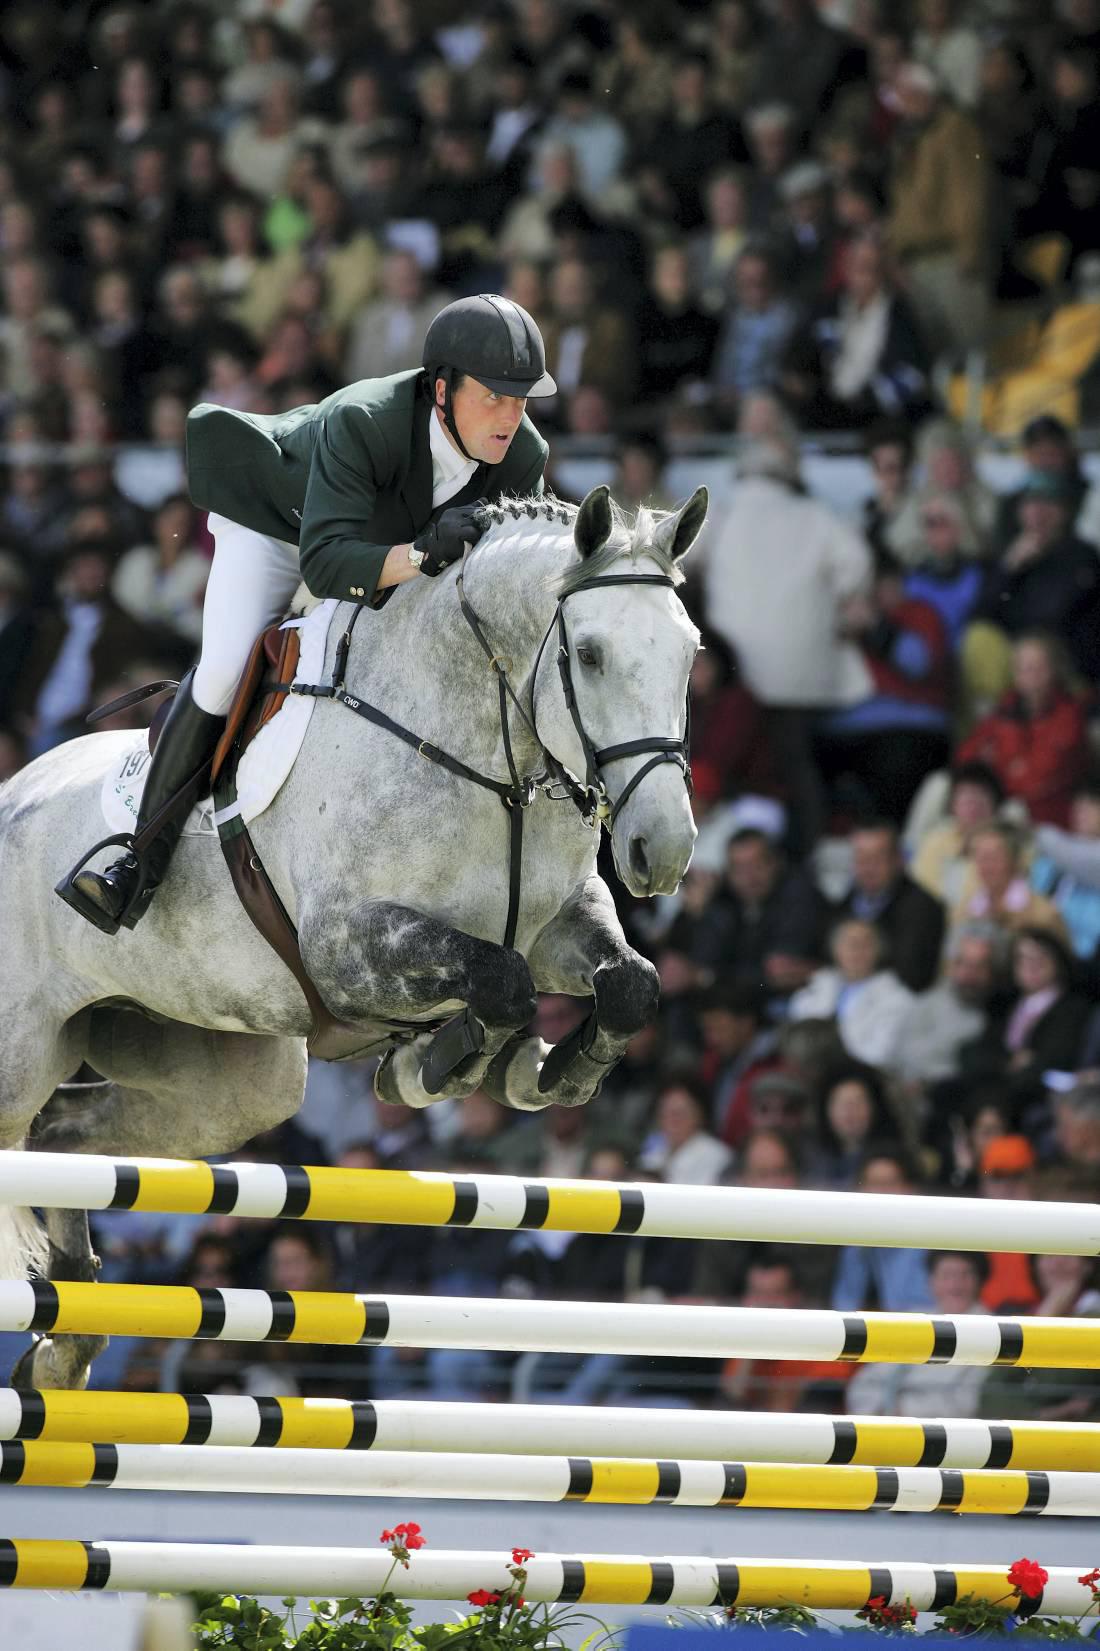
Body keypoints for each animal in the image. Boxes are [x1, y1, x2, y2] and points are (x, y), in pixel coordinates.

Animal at [0, 482, 706, 1388]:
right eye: (587, 654)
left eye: (689, 652)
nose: (664, 850)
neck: (485, 753)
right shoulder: (347, 947)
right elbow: (499, 978)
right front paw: (443, 1062)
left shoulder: (560, 927)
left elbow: (627, 984)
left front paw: (542, 1069)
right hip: (24, 1052)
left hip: (230, 1083)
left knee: (65, 1135)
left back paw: (67, 1336)